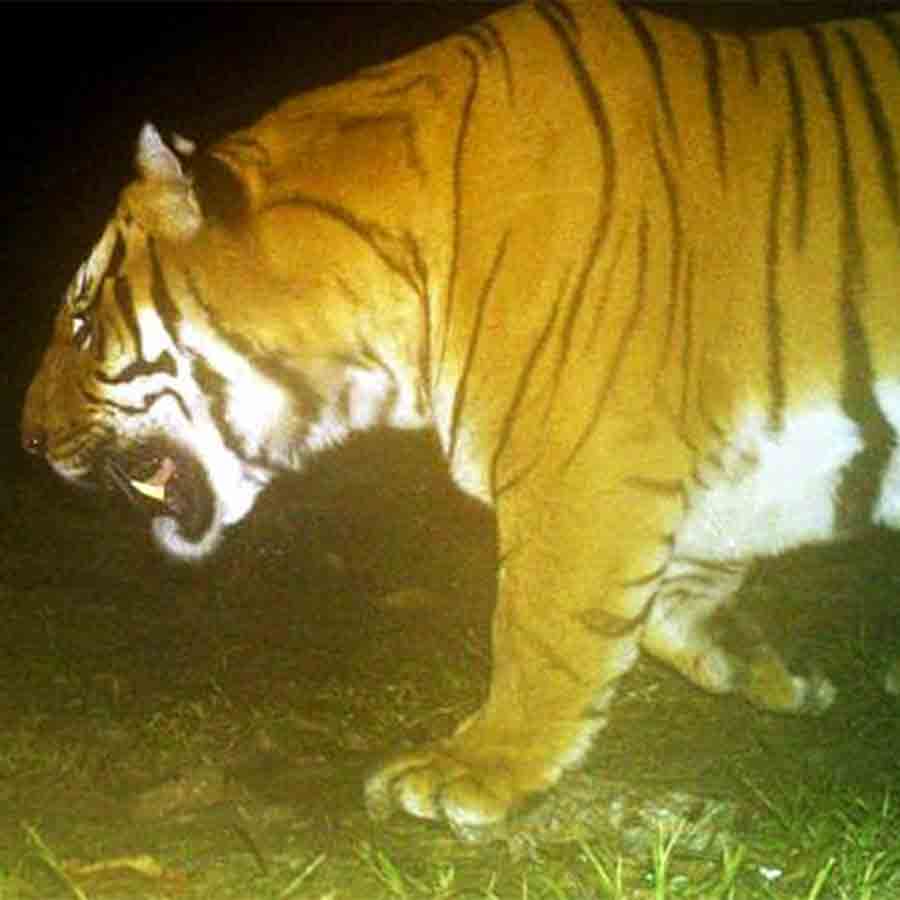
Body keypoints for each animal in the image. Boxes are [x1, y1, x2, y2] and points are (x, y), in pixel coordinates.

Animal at [20, 0, 900, 838]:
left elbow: (541, 629)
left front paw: (476, 769)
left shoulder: (586, 465)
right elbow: (667, 605)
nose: (27, 439)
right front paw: (774, 667)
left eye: (84, 325)